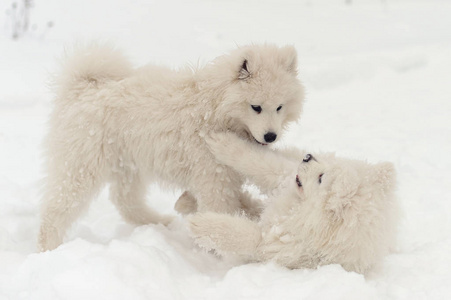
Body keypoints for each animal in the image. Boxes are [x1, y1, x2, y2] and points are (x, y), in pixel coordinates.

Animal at [38, 44, 306, 251]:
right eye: (256, 107)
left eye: (280, 106)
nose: (270, 136)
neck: (214, 109)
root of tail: (83, 88)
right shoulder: (213, 180)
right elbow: (221, 210)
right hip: (81, 166)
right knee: (57, 209)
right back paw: (48, 248)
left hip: (128, 165)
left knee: (124, 200)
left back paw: (156, 222)